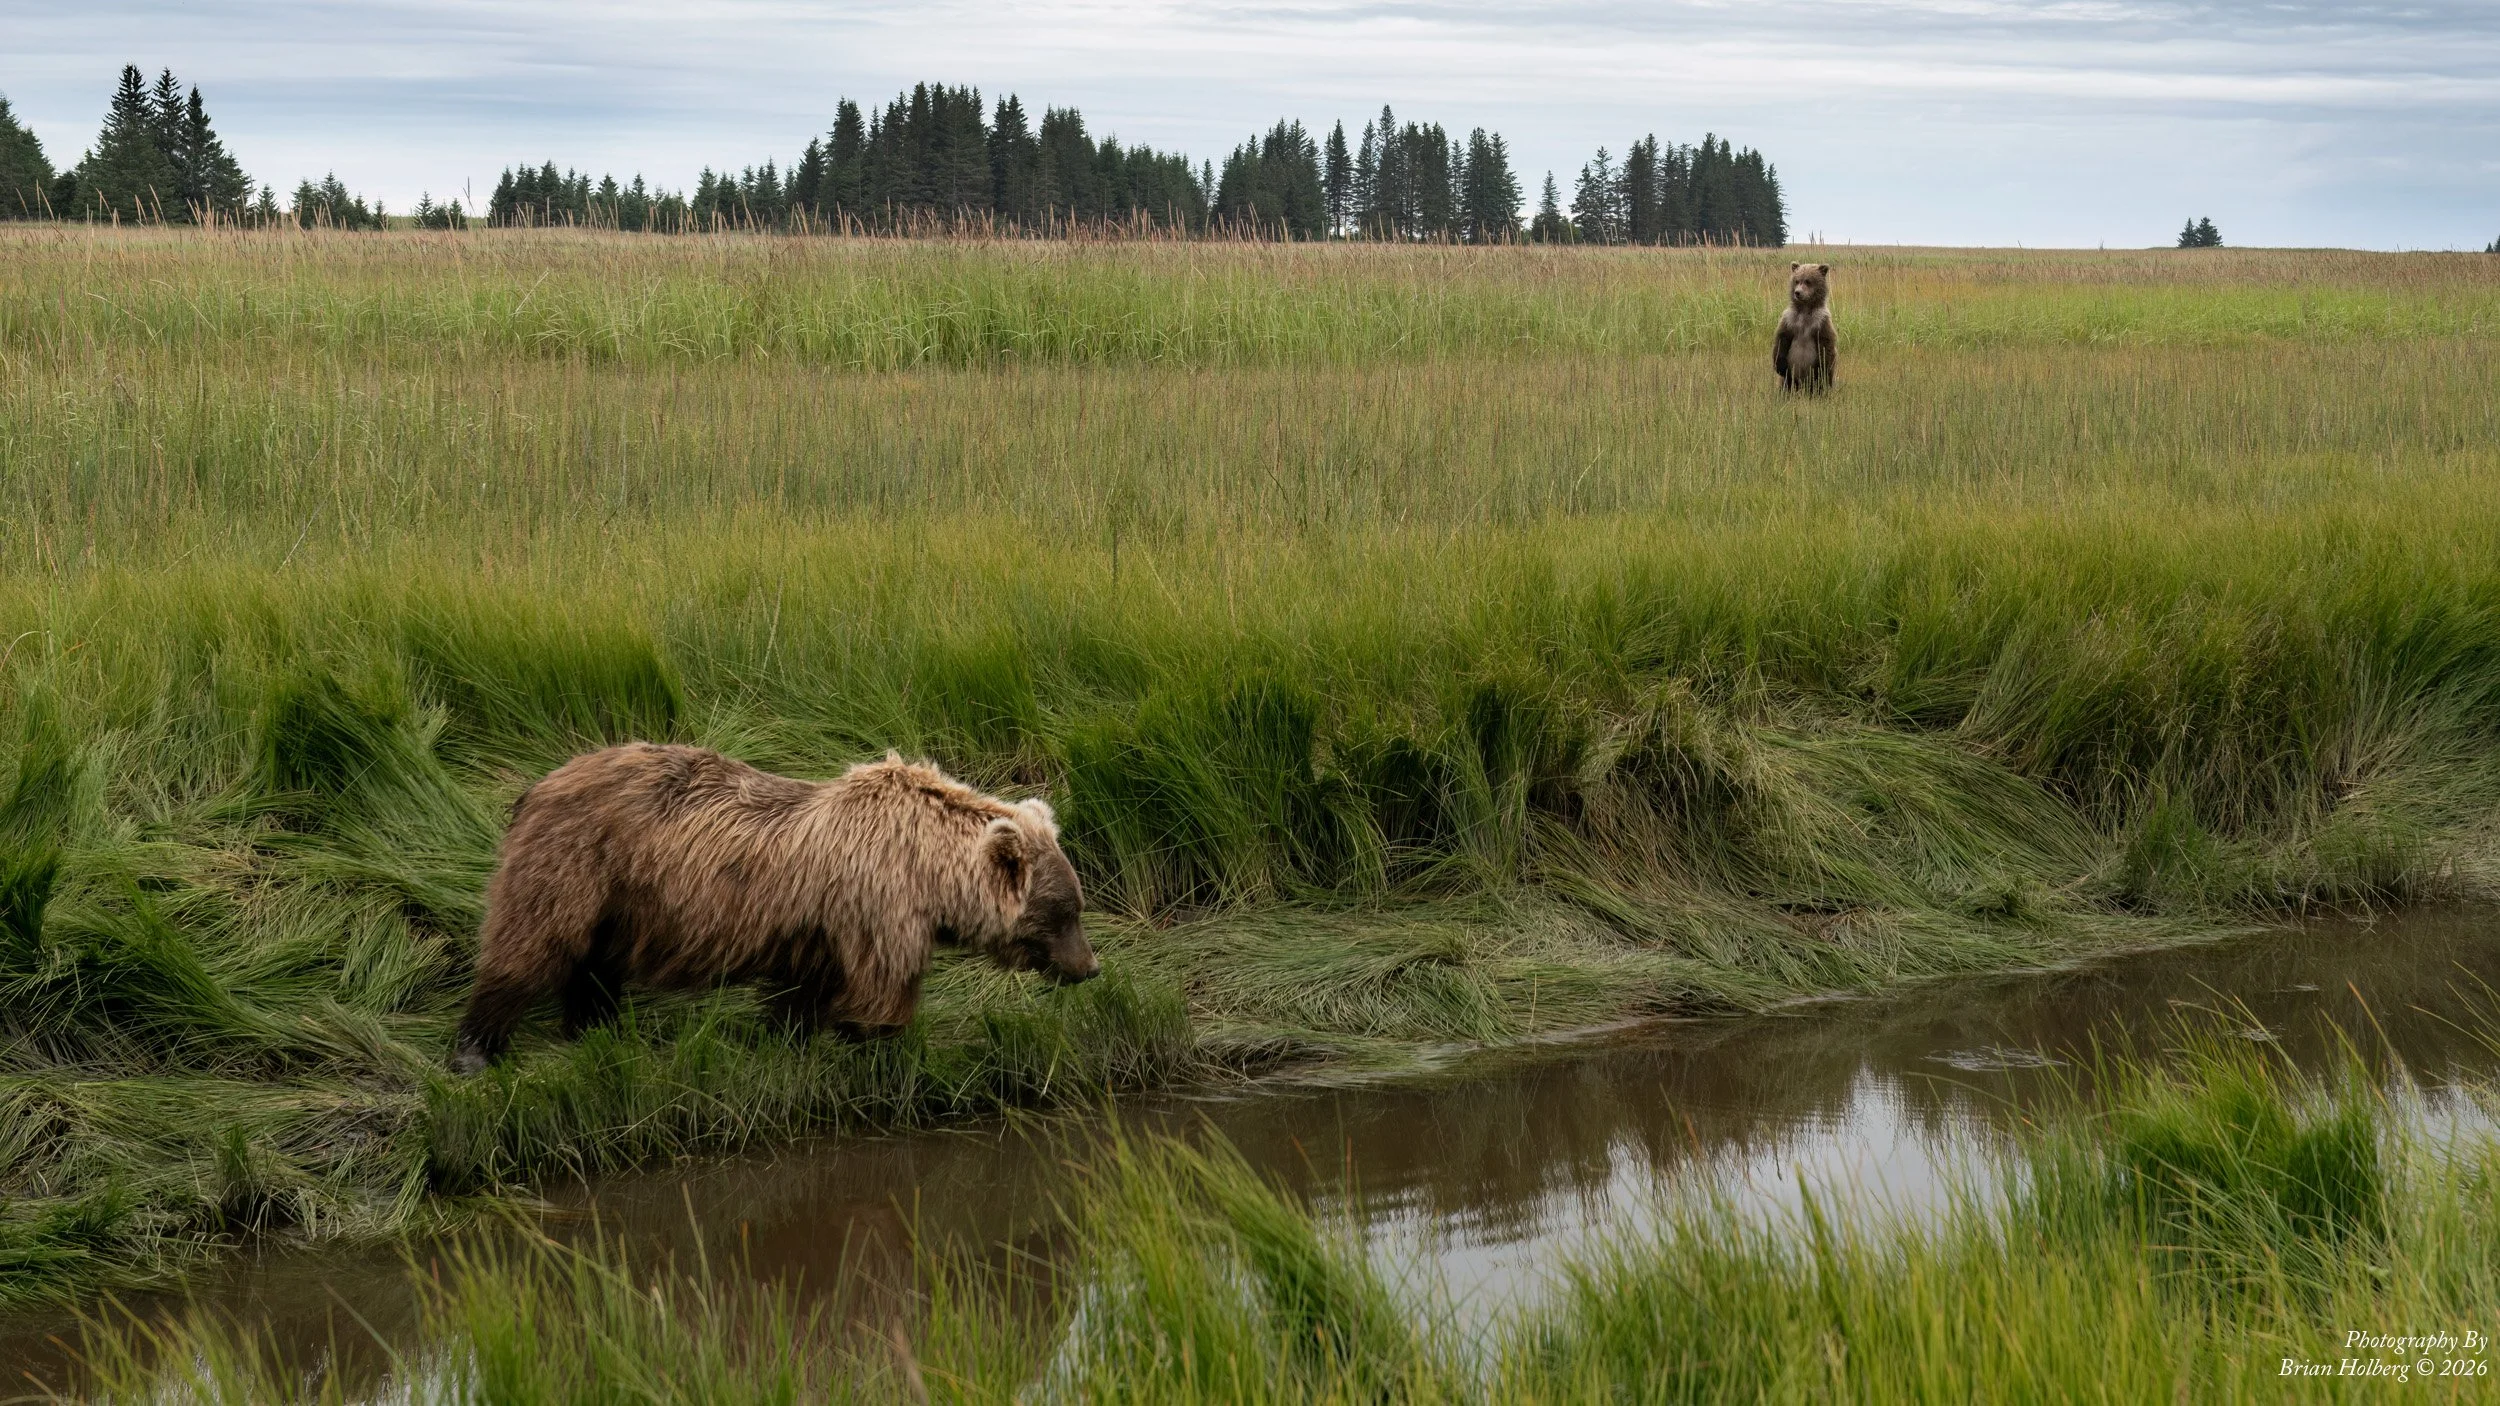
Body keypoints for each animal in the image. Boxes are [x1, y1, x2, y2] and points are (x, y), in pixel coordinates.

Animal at [447, 744, 1096, 1074]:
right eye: (1063, 912)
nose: (1090, 968)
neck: (929, 868)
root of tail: (538, 784)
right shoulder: (881, 908)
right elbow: (881, 991)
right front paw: (881, 1043)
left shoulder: (820, 928)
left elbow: (801, 994)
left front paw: (788, 1039)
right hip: (579, 861)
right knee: (532, 944)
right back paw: (475, 1050)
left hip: (620, 901)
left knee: (594, 962)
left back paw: (597, 1026)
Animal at [1773, 262, 1837, 393]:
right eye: (1797, 281)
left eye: (1808, 281)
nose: (1797, 292)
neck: (1805, 309)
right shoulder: (1790, 319)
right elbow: (1782, 338)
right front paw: (1779, 366)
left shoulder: (1821, 322)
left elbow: (1826, 345)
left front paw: (1823, 367)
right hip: (1790, 379)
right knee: (1786, 385)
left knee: (1822, 384)